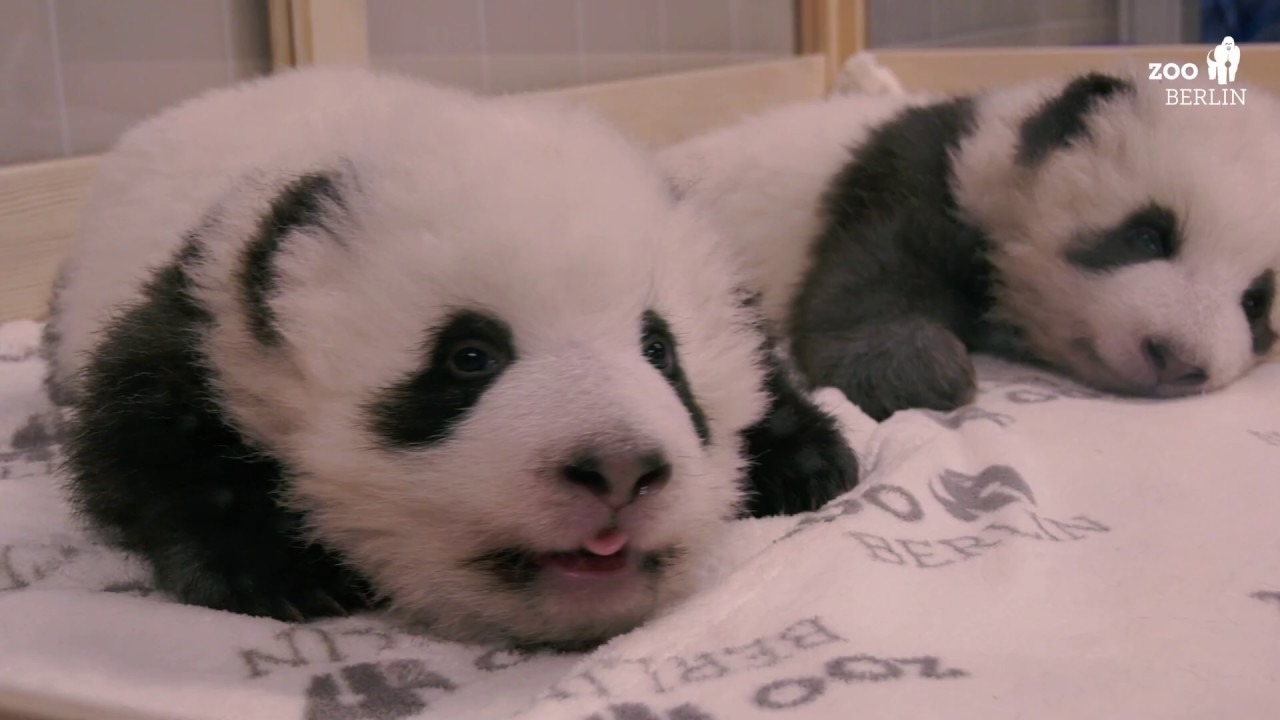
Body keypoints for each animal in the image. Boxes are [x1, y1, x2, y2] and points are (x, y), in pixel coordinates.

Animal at [43, 67, 858, 648]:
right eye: (469, 356)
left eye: (659, 349)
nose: (620, 468)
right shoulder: (207, 315)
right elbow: (146, 436)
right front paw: (277, 572)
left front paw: (810, 462)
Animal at [660, 70, 1280, 421]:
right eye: (1149, 235)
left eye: (1256, 302)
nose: (1176, 358)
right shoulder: (913, 179)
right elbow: (869, 277)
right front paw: (915, 372)